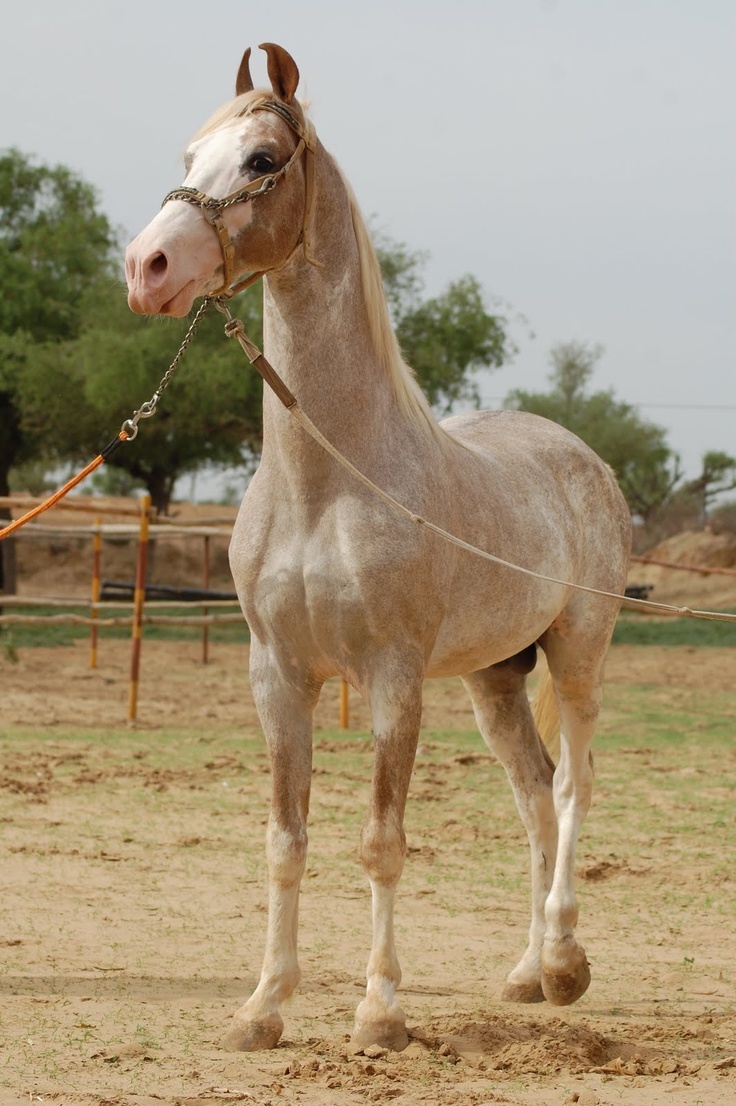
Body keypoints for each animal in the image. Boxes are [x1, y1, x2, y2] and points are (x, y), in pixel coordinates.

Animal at [125, 43, 632, 1053]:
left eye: (262, 159)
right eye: (192, 152)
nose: (146, 265)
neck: (328, 484)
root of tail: (580, 457)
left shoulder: (394, 678)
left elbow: (381, 842)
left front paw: (380, 1011)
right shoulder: (278, 676)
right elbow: (286, 842)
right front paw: (263, 1008)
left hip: (578, 654)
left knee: (571, 790)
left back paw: (563, 964)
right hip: (495, 679)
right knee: (532, 797)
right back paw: (524, 974)